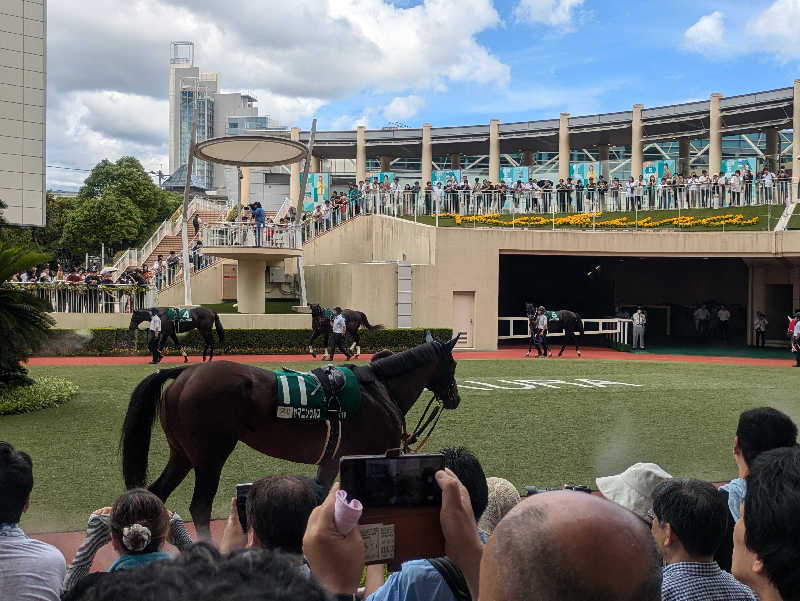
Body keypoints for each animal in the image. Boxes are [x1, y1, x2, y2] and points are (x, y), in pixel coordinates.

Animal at [118, 332, 456, 536]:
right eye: (452, 364)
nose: (455, 397)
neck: (380, 390)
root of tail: (183, 373)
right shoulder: (381, 454)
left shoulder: (332, 460)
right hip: (210, 456)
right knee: (199, 506)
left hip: (183, 454)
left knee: (157, 493)